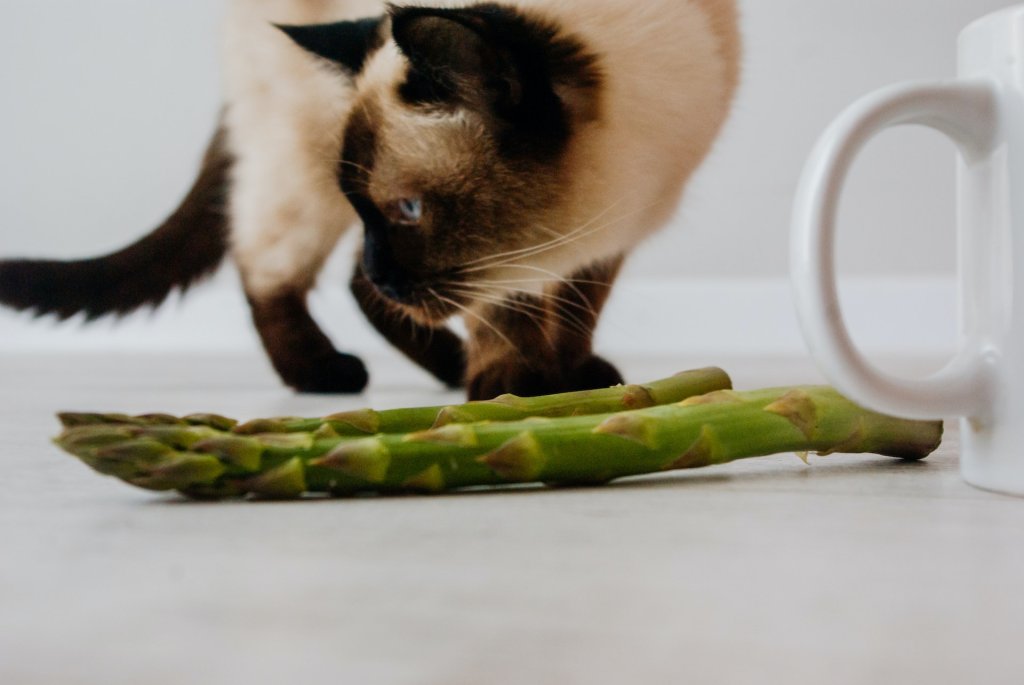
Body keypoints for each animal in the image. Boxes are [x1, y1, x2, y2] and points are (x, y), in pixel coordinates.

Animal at [0, 0, 741, 397]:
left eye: (407, 211)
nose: (386, 267)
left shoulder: (611, 233)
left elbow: (580, 304)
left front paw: (573, 371)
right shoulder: (496, 263)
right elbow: (508, 309)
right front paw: (516, 386)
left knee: (353, 288)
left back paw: (445, 364)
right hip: (297, 161)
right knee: (271, 269)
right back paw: (328, 372)